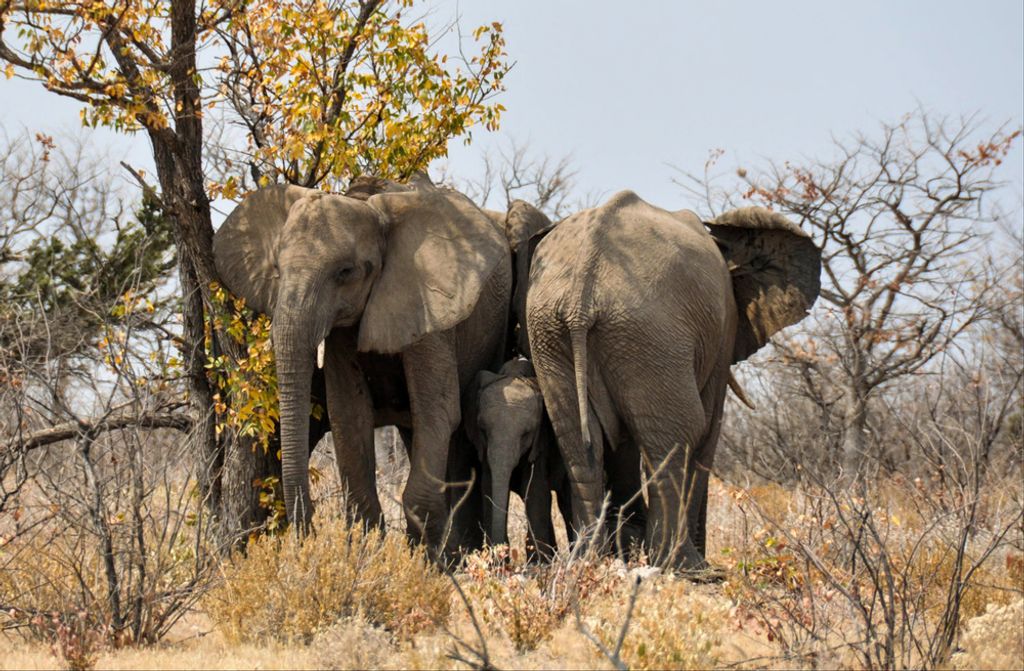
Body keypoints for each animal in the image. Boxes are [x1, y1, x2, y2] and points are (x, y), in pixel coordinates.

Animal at [213, 176, 512, 557]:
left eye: (346, 272)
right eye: (277, 271)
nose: (306, 536)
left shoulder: (430, 309)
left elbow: (438, 411)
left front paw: (422, 564)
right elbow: (349, 414)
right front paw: (367, 555)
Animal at [464, 356, 572, 560]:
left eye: (526, 434)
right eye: (483, 430)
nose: (502, 553)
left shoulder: (541, 440)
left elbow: (535, 489)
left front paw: (539, 564)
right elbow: (488, 486)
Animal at [524, 191, 821, 574]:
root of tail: (580, 298)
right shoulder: (722, 328)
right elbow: (708, 427)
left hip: (554, 333)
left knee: (578, 441)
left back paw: (589, 561)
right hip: (648, 333)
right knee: (683, 432)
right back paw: (684, 566)